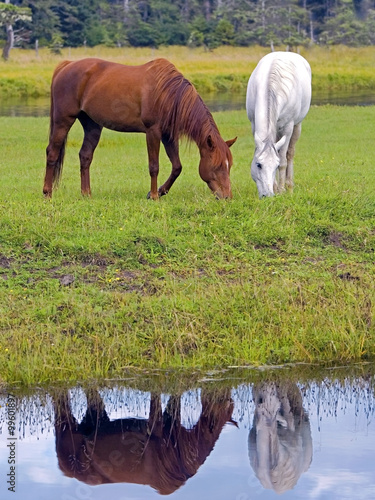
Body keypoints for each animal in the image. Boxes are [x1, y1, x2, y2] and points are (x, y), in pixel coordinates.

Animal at [44, 57, 236, 199]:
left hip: (92, 125)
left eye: (229, 166)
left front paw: (160, 191)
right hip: (63, 120)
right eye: (217, 165)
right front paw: (154, 195)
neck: (168, 94)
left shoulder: (168, 135)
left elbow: (177, 167)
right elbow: (154, 166)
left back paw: (86, 194)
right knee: (52, 152)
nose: (227, 196)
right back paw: (47, 193)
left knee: (85, 156)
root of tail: (67, 65)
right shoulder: (153, 132)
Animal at [248, 51, 312, 197]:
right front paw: (276, 188)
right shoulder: (254, 125)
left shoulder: (287, 128)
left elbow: (283, 160)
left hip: (296, 126)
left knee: (290, 153)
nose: (267, 195)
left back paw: (289, 187)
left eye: (275, 166)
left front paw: (281, 190)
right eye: (258, 164)